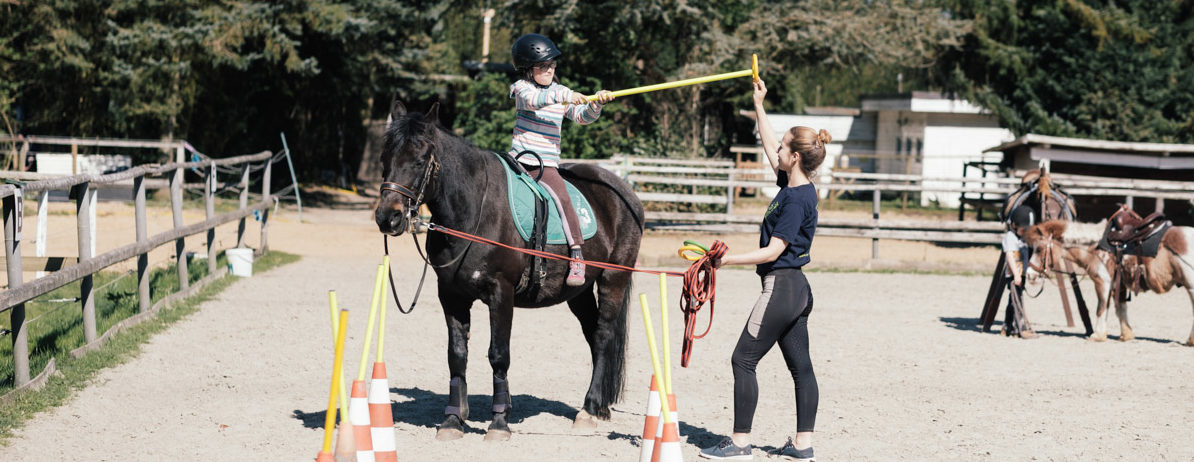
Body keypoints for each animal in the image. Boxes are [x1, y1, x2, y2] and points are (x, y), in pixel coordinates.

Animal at [377, 101, 649, 441]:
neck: (474, 212)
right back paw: (599, 406)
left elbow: (498, 354)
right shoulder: (451, 296)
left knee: (602, 336)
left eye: (418, 161)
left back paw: (588, 410)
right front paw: (453, 419)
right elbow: (457, 354)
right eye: (384, 160)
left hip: (614, 279)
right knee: (592, 334)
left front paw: (499, 422)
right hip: (580, 291)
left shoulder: (501, 293)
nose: (387, 217)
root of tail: (624, 190)